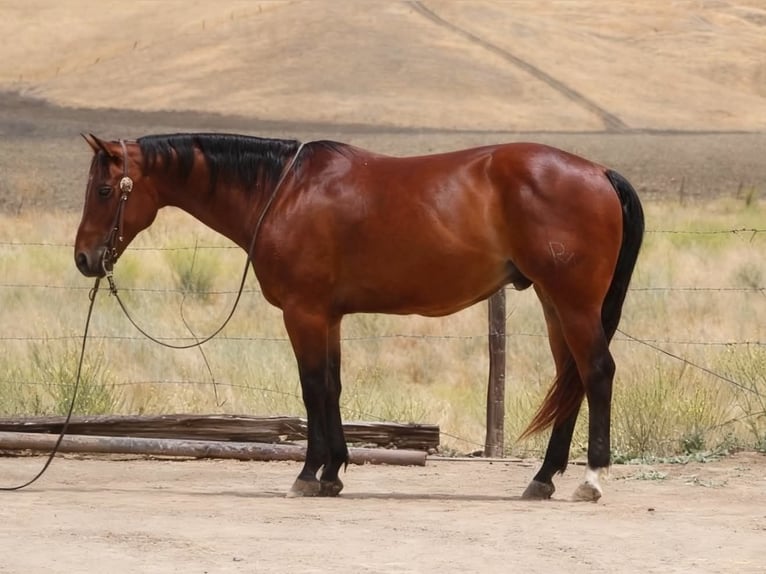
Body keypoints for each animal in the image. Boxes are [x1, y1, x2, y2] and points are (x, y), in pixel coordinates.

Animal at [74, 132, 644, 501]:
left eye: (103, 190)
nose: (84, 259)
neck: (283, 191)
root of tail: (598, 172)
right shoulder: (328, 317)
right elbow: (332, 386)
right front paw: (333, 472)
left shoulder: (303, 313)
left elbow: (311, 388)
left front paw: (308, 474)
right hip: (553, 303)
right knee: (570, 378)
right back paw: (543, 479)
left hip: (573, 303)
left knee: (596, 373)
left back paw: (591, 480)